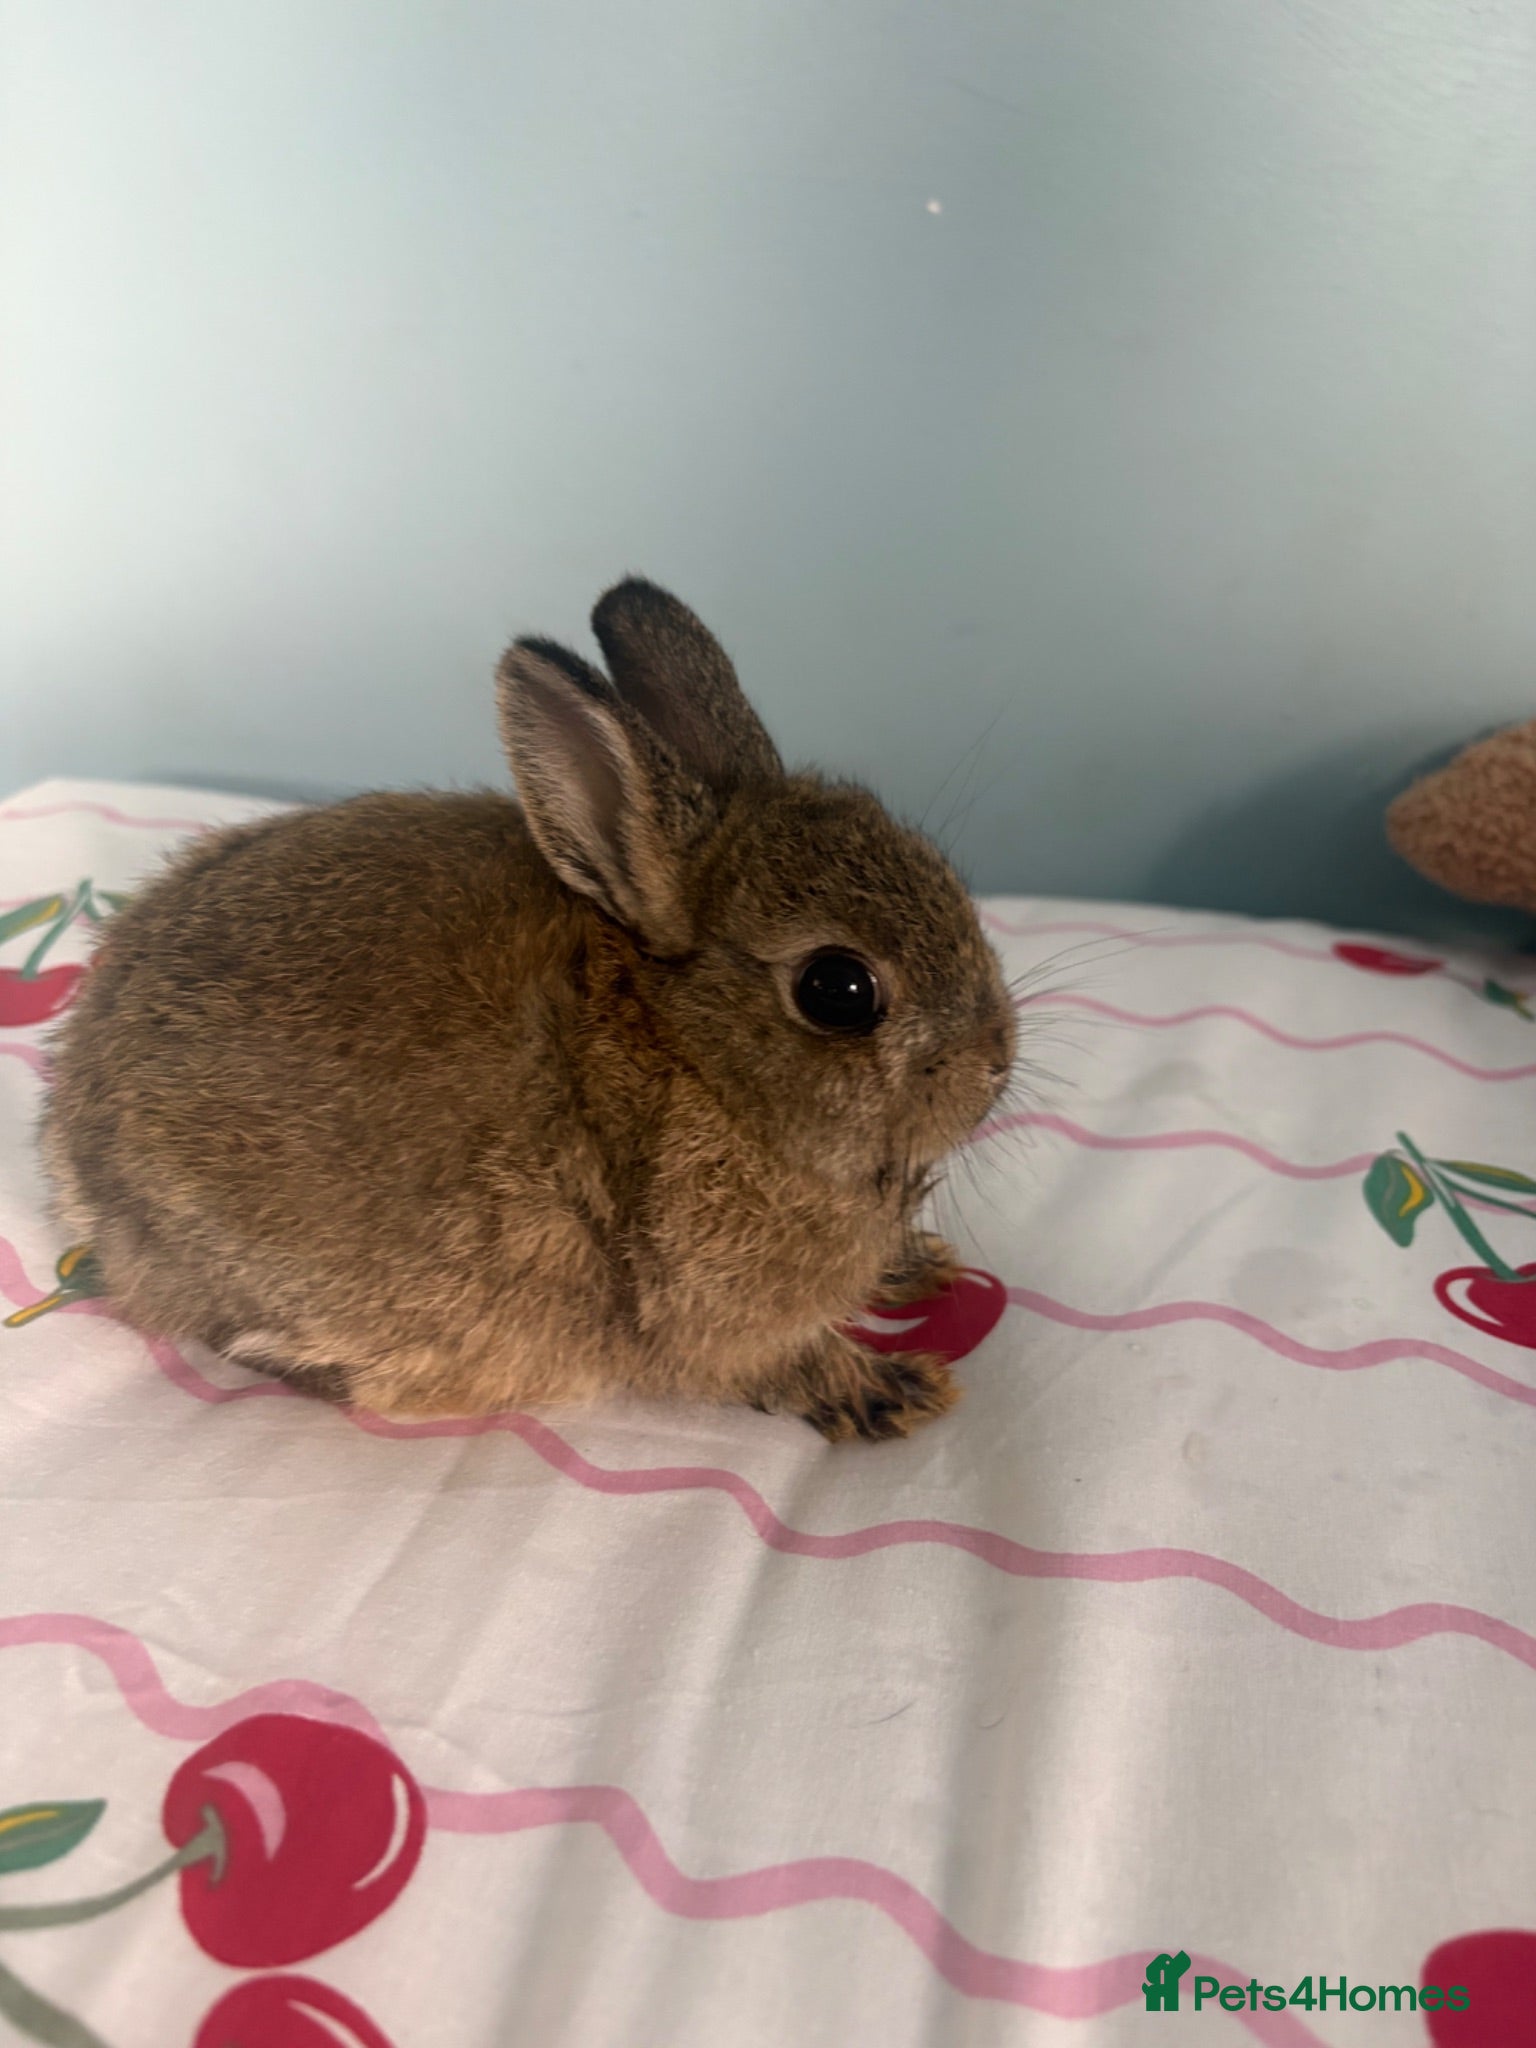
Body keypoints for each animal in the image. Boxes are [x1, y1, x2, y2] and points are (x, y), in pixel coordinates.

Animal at [41, 579, 1016, 1440]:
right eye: (838, 990)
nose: (997, 1065)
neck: (695, 1052)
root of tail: (76, 1157)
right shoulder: (713, 1315)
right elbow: (783, 1362)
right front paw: (888, 1391)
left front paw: (915, 1264)